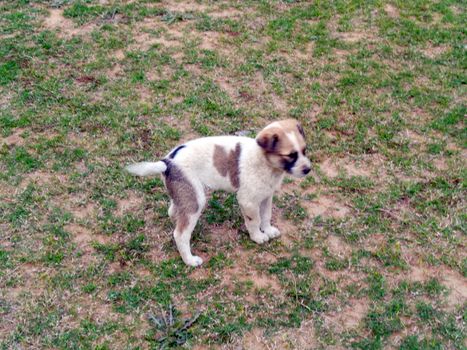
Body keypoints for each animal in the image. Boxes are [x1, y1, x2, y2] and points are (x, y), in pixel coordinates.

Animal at [126, 119, 312, 266]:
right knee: (180, 234)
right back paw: (190, 260)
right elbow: (254, 220)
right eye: (290, 155)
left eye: (304, 150)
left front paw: (268, 230)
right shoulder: (248, 201)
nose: (308, 170)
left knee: (173, 211)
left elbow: (266, 215)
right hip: (196, 200)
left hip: (185, 193)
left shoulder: (266, 196)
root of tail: (167, 162)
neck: (264, 161)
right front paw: (258, 236)